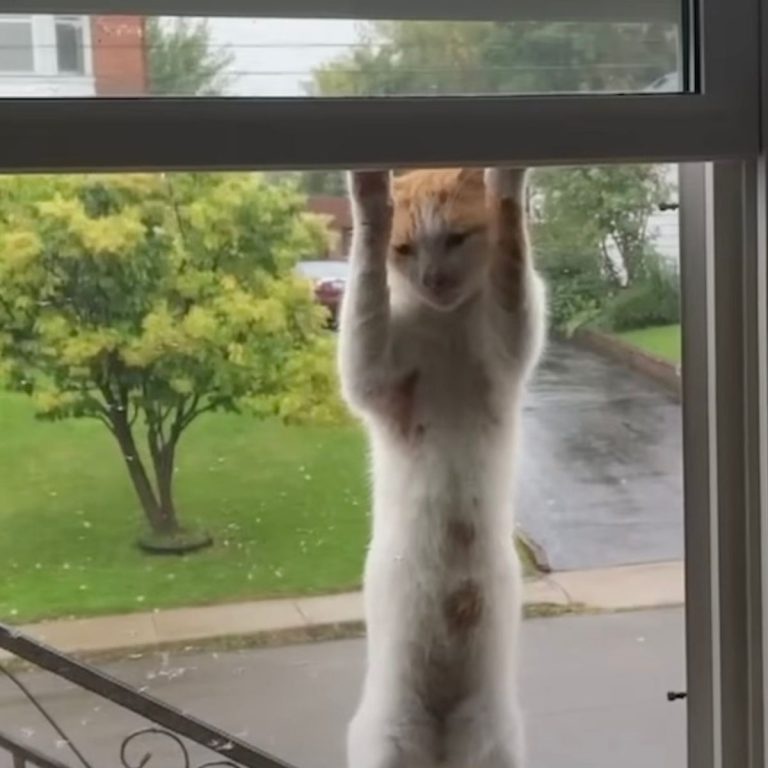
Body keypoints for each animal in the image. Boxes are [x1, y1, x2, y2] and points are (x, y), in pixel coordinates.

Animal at [340, 170, 544, 768]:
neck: (444, 324)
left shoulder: (509, 342)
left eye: (455, 238)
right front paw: (370, 200)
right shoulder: (373, 376)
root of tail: (441, 733)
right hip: (387, 737)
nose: (432, 279)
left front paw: (509, 183)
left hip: (493, 739)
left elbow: (511, 270)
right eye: (404, 249)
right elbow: (366, 300)